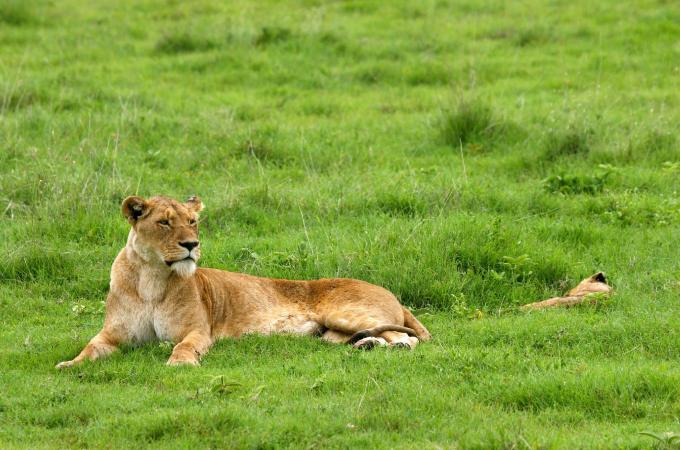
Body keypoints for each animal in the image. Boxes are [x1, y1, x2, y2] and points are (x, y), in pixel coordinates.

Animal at [56, 195, 431, 368]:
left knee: (405, 336)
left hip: (346, 313)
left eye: (192, 221)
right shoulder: (112, 335)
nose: (191, 244)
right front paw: (69, 365)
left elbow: (183, 346)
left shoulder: (198, 331)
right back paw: (366, 346)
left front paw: (179, 363)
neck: (152, 277)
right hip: (331, 333)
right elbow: (89, 348)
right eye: (164, 222)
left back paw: (392, 345)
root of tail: (393, 294)